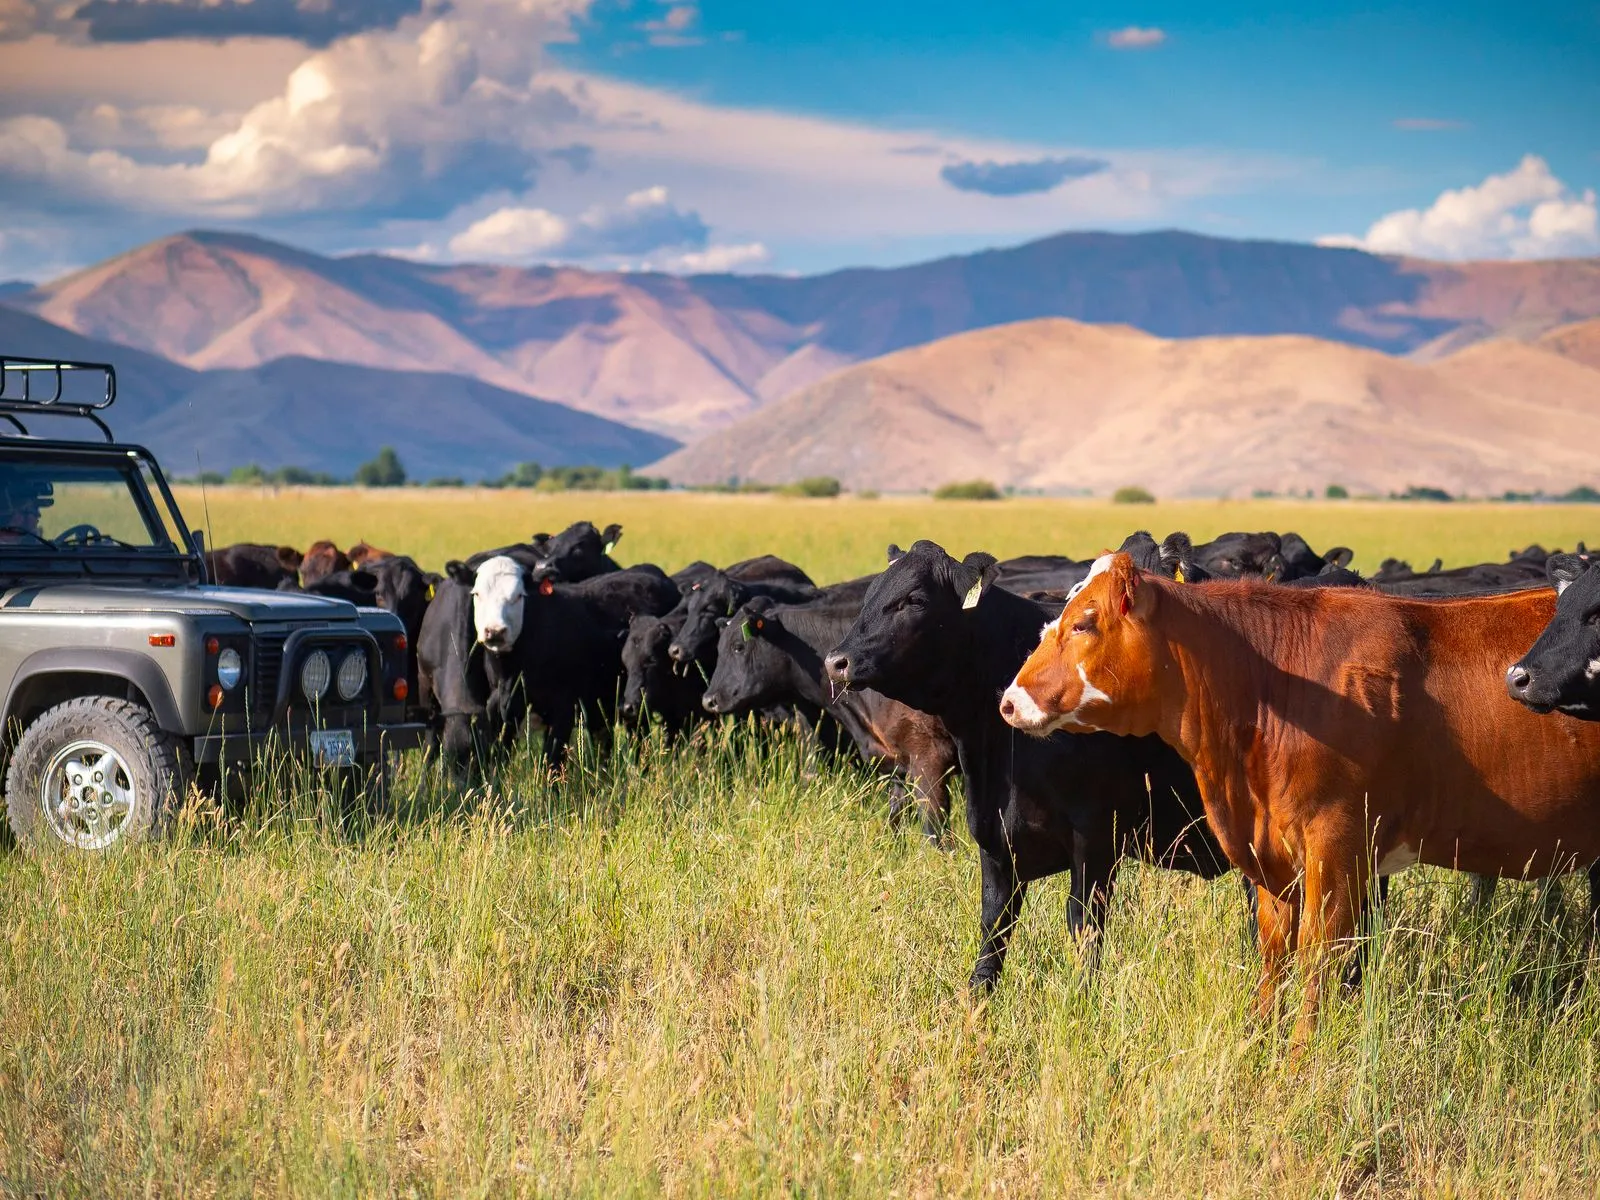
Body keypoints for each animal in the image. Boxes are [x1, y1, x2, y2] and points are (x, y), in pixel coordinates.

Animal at [702, 592, 959, 842]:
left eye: (738, 647)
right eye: (718, 648)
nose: (709, 700)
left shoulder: (928, 759)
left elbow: (935, 831)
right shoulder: (893, 763)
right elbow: (895, 820)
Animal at [820, 541, 1230, 990]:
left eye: (914, 599)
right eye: (870, 593)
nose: (836, 661)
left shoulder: (1096, 836)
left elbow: (1084, 925)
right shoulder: (995, 841)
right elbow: (993, 931)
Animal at [999, 552, 1600, 1045]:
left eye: (1084, 622)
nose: (1009, 701)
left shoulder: (1336, 847)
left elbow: (1318, 954)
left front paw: (1299, 1059)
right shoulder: (1273, 854)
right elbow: (1274, 952)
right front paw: (1258, 1044)